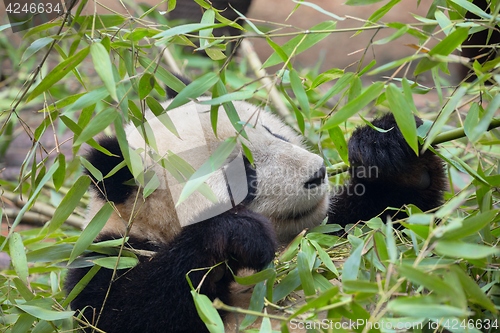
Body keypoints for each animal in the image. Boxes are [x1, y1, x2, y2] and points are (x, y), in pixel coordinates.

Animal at [65, 85, 446, 330]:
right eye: (241, 174)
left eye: (275, 133)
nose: (317, 174)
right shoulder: (106, 260)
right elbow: (129, 311)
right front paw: (238, 235)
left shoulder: (331, 231)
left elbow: (396, 223)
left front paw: (390, 146)